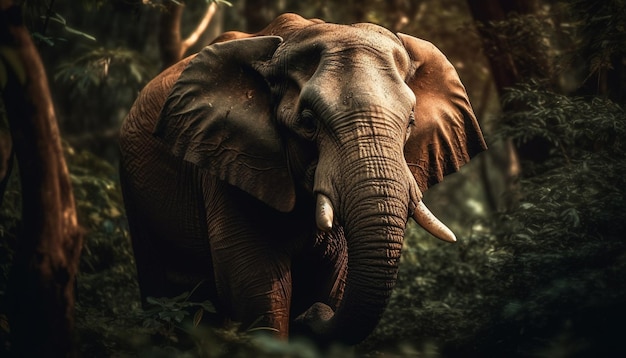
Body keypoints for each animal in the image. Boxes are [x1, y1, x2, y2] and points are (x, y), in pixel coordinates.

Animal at [118, 12, 488, 346]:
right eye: (308, 122)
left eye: (411, 122)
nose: (312, 314)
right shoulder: (231, 161)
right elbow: (256, 288)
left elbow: (336, 279)